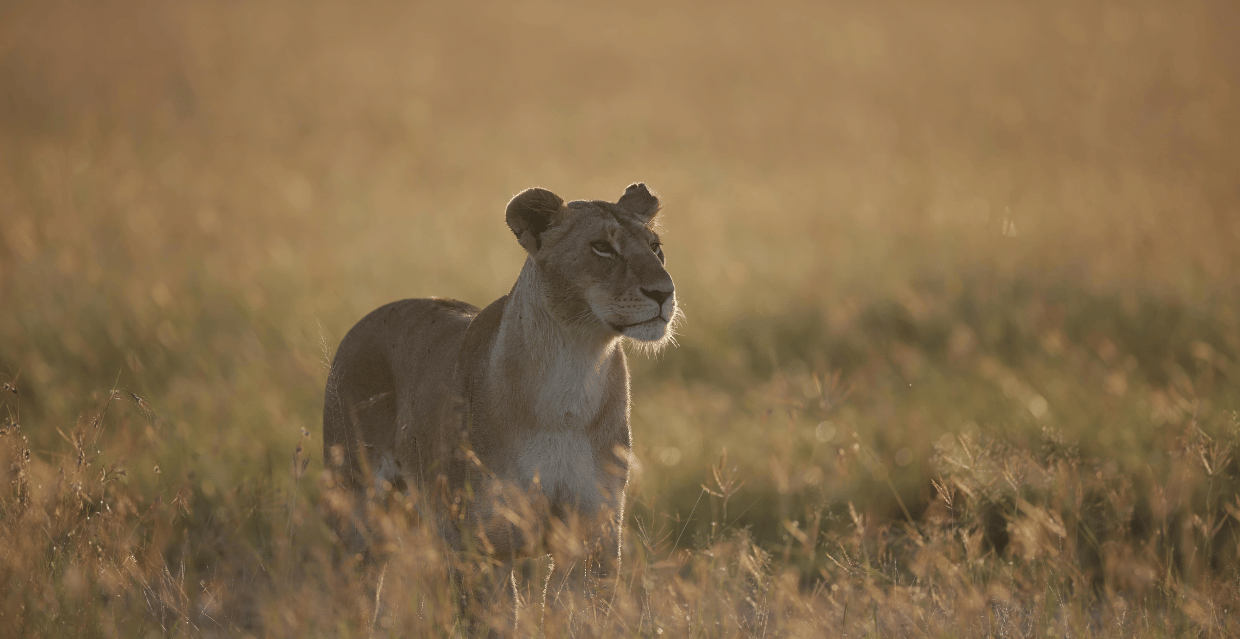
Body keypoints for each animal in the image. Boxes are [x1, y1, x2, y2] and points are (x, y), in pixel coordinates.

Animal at [321, 183, 677, 599]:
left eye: (655, 248)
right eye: (602, 247)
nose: (664, 292)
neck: (573, 373)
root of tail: (363, 322)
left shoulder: (594, 540)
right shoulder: (485, 546)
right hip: (355, 508)